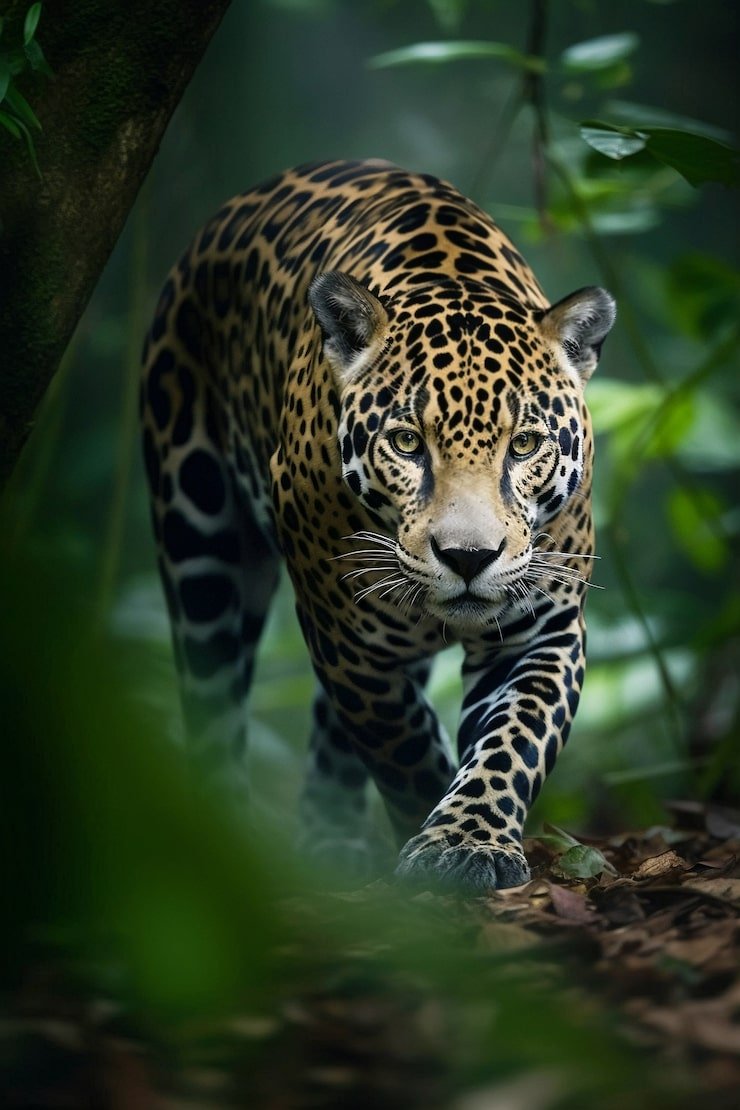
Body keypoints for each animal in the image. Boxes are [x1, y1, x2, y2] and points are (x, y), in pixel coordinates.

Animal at [141, 159, 615, 890]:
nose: (469, 557)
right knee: (213, 696)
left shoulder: (540, 629)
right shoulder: (346, 638)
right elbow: (400, 743)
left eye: (525, 445)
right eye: (407, 443)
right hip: (197, 538)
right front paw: (430, 822)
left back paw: (330, 842)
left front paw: (467, 840)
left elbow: (512, 741)